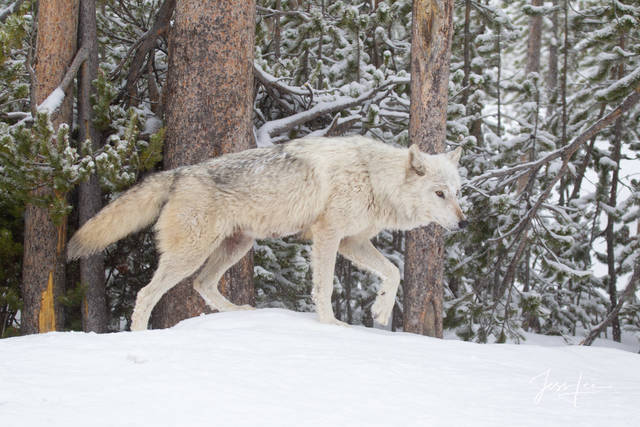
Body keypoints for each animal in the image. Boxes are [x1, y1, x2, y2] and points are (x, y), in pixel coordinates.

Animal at [67, 137, 464, 332]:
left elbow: (393, 272)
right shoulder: (328, 236)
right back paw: (139, 336)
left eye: (457, 192)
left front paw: (380, 309)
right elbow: (323, 288)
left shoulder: (353, 241)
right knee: (146, 294)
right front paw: (331, 325)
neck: (372, 177)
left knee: (202, 285)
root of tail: (179, 173)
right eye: (439, 193)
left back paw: (239, 313)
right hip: (192, 255)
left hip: (237, 246)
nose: (462, 223)